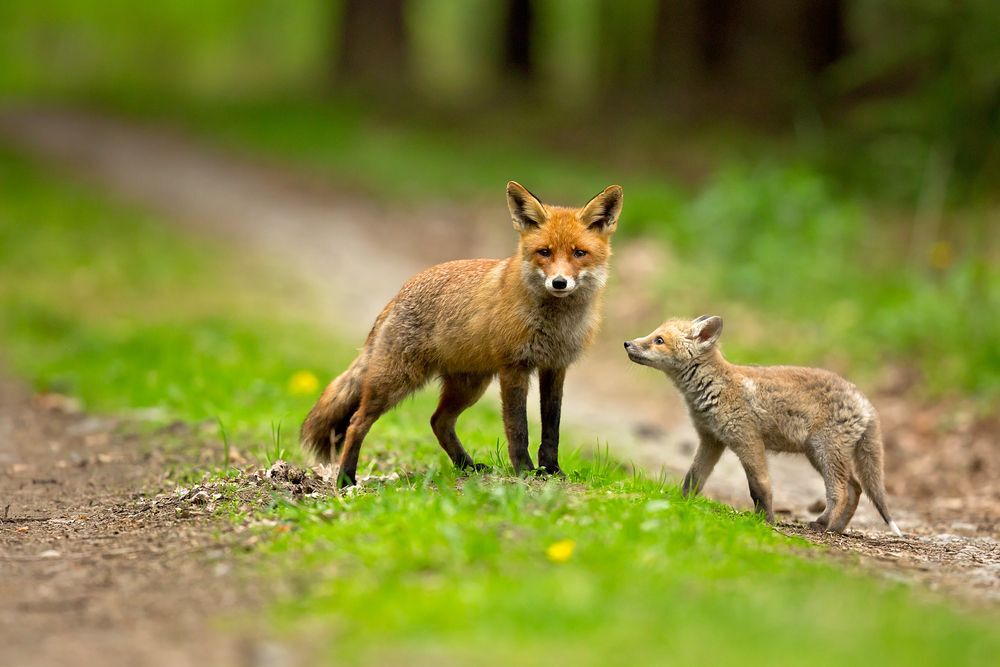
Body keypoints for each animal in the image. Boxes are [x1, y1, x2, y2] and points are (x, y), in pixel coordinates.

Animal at [302, 181, 623, 488]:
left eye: (579, 253)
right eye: (544, 252)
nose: (559, 282)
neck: (556, 323)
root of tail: (398, 293)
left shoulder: (555, 367)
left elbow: (551, 428)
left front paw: (551, 470)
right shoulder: (514, 368)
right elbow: (518, 429)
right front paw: (524, 471)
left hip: (469, 385)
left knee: (438, 422)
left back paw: (466, 466)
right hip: (396, 381)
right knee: (357, 422)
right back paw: (345, 478)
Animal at [625, 315, 902, 537]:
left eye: (659, 340)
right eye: (654, 334)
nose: (627, 343)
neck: (716, 387)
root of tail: (864, 400)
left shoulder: (747, 440)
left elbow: (760, 486)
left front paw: (766, 521)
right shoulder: (711, 440)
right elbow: (693, 478)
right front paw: (681, 504)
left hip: (825, 452)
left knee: (841, 491)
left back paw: (822, 523)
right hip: (819, 455)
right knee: (856, 488)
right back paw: (836, 528)